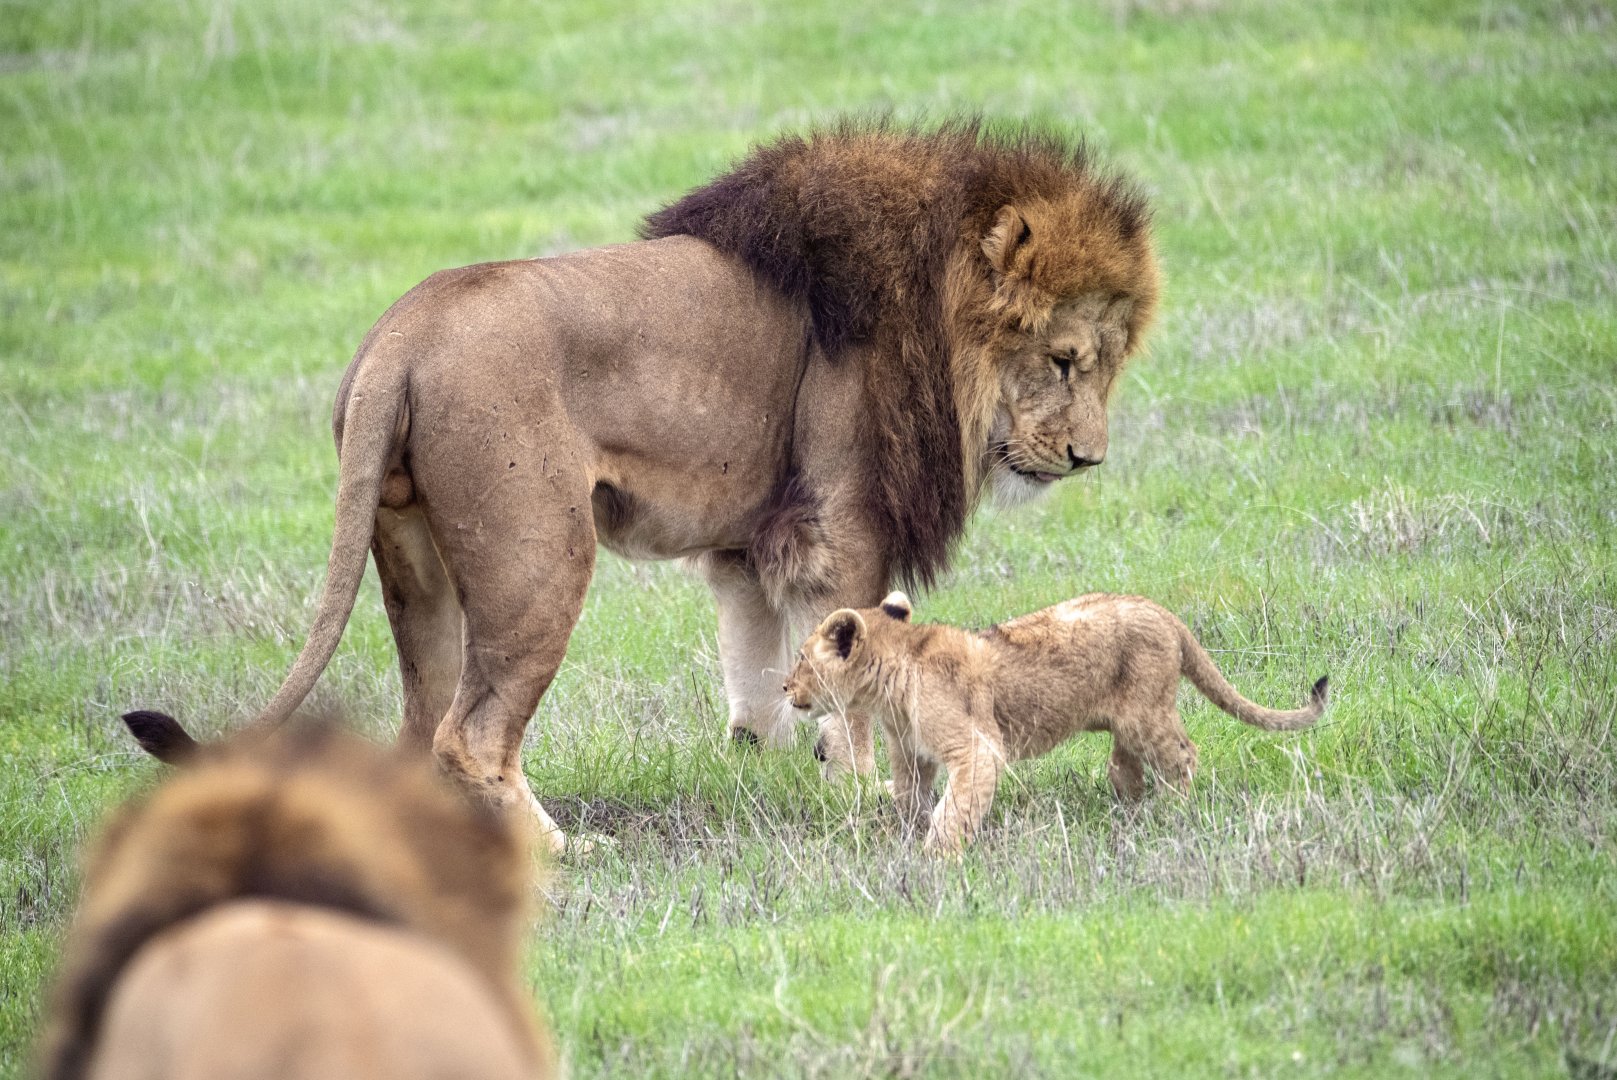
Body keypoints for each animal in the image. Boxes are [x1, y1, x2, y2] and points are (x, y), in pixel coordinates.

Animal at [141, 120, 1159, 853]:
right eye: (1063, 361)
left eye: (1106, 366)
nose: (1088, 459)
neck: (939, 319)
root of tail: (403, 328)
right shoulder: (842, 523)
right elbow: (855, 668)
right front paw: (865, 795)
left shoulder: (751, 542)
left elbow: (756, 676)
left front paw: (769, 766)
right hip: (538, 555)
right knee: (469, 735)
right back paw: (560, 852)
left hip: (416, 563)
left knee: (418, 724)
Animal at [783, 591, 1328, 853]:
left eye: (801, 658)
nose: (785, 688)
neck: (890, 679)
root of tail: (1165, 613)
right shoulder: (912, 755)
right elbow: (910, 798)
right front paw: (901, 837)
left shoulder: (978, 748)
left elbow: (954, 809)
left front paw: (936, 859)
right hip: (1130, 721)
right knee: (1125, 764)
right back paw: (1129, 810)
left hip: (1147, 714)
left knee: (1182, 755)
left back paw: (1173, 811)